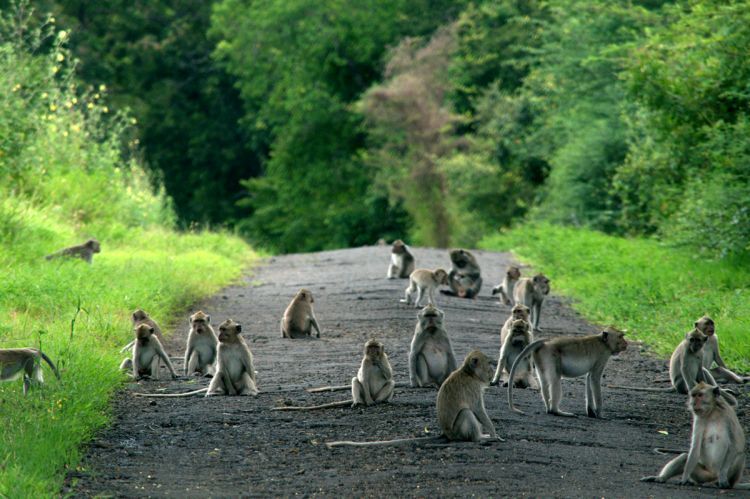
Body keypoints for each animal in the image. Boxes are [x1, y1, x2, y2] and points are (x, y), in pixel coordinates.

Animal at [326, 352, 502, 450]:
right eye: (488, 364)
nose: (491, 372)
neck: (469, 373)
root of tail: (446, 434)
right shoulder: (473, 388)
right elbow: (478, 410)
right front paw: (494, 433)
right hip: (457, 432)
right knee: (466, 412)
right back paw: (479, 438)